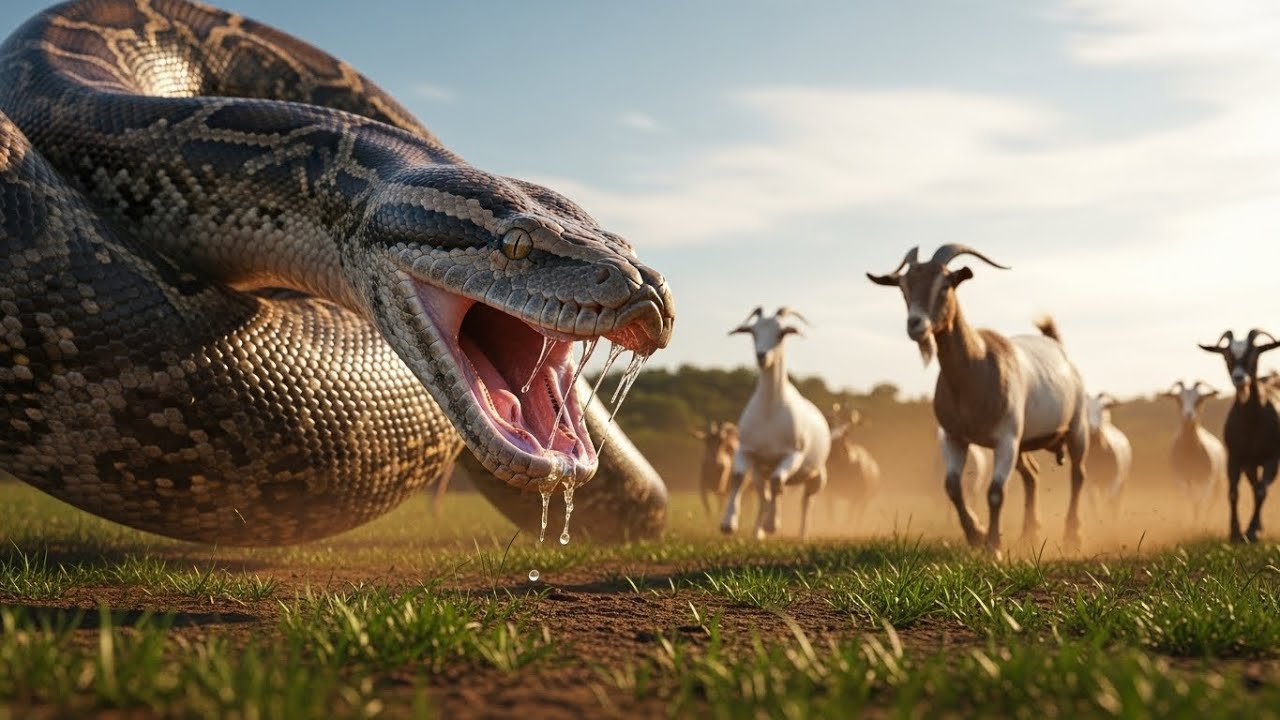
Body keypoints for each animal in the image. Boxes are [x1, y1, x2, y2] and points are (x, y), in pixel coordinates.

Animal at [720, 307, 831, 540]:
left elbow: (778, 481)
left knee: (806, 501)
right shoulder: (747, 450)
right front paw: (728, 524)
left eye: (781, 333)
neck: (769, 410)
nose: (762, 356)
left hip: (817, 476)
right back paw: (758, 532)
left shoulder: (793, 453)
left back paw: (801, 534)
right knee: (766, 494)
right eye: (753, 332)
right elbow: (738, 478)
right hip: (760, 471)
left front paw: (773, 524)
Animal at [868, 244, 1089, 556]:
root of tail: (1057, 345)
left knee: (1078, 474)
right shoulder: (954, 437)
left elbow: (996, 492)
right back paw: (1029, 535)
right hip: (1023, 442)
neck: (976, 367)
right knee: (1032, 475)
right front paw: (976, 534)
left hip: (1076, 426)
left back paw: (1072, 537)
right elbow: (951, 486)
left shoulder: (1006, 437)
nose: (916, 325)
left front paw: (993, 547)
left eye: (946, 284)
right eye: (903, 287)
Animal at [1161, 380, 1226, 525]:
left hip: (1216, 484)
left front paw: (1197, 525)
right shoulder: (1181, 479)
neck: (1190, 451)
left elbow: (1199, 502)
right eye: (1179, 398)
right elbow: (1189, 500)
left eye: (1199, 399)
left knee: (1209, 503)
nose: (1188, 415)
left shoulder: (1206, 481)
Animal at [1199, 330, 1280, 542]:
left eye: (1254, 353)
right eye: (1227, 356)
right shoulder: (1236, 457)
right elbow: (1234, 492)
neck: (1251, 424)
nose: (1239, 377)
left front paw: (1251, 532)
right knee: (1253, 485)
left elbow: (1261, 491)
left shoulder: (1272, 458)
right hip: (1249, 464)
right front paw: (1235, 533)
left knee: (1260, 488)